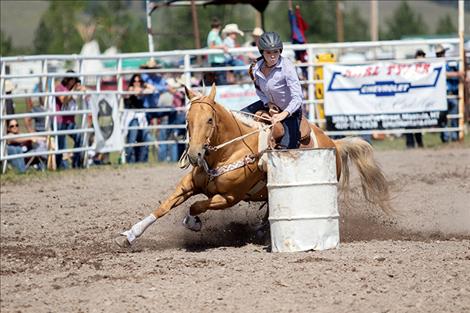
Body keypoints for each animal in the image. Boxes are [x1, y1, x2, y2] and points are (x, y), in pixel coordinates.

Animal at [114, 84, 392, 247]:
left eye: (210, 119)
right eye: (187, 120)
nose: (194, 155)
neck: (226, 152)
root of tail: (333, 142)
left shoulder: (228, 198)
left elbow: (197, 206)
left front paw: (192, 223)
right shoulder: (188, 184)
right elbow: (163, 207)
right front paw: (129, 235)